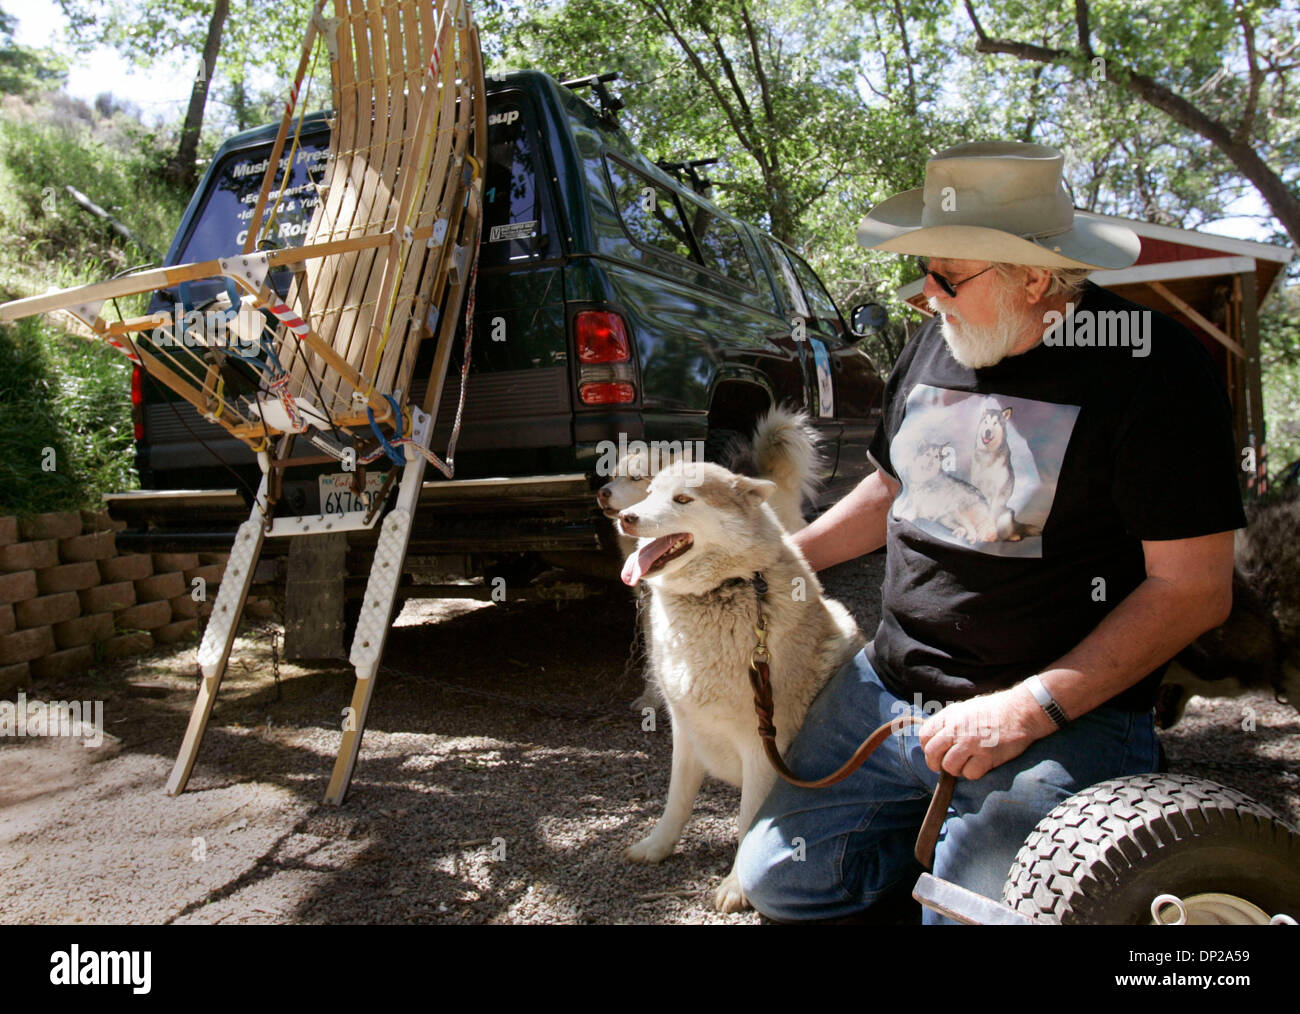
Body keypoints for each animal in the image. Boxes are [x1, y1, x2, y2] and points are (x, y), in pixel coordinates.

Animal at [616, 460, 863, 909]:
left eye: (683, 499)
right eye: (650, 492)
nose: (626, 517)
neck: (719, 592)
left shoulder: (760, 745)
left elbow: (749, 820)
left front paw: (735, 886)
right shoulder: (687, 731)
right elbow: (676, 802)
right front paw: (656, 848)